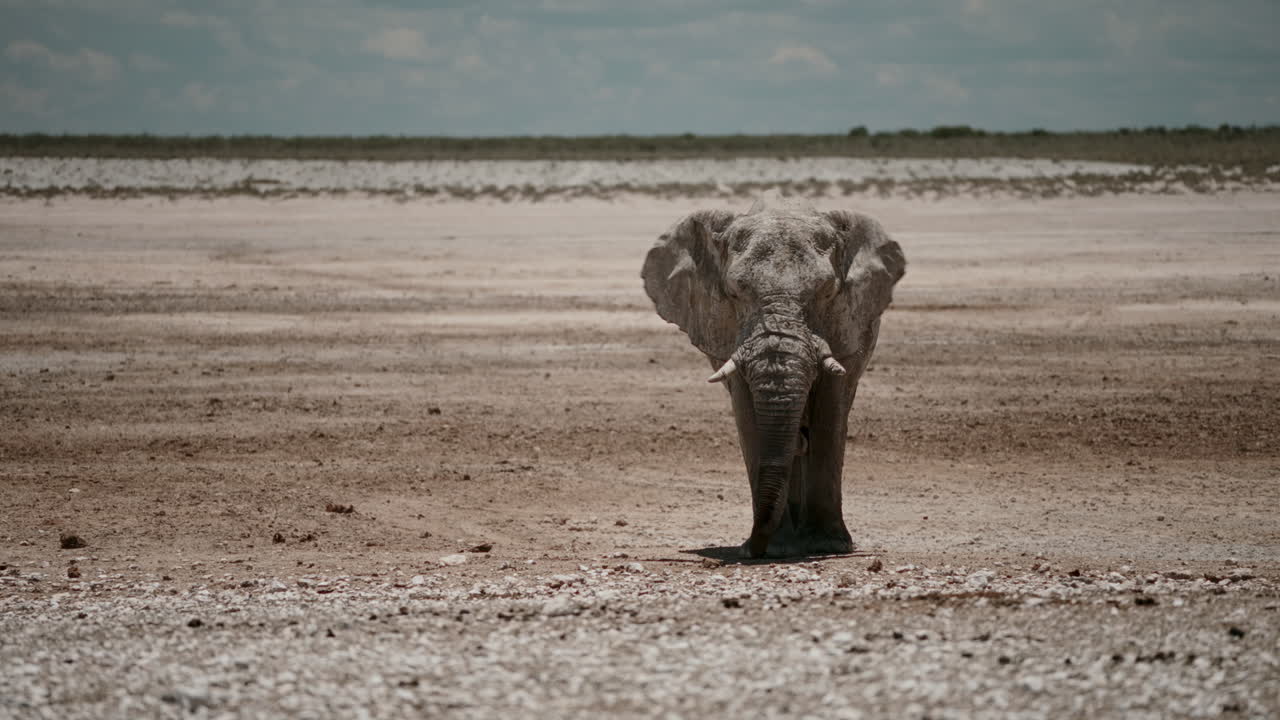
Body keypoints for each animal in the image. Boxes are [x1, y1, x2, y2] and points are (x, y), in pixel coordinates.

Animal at [641, 198, 905, 558]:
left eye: (827, 292)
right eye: (734, 293)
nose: (750, 550)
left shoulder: (847, 326)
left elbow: (830, 411)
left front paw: (829, 545)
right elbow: (748, 415)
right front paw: (776, 547)